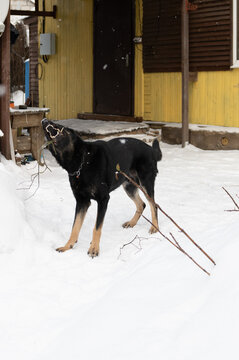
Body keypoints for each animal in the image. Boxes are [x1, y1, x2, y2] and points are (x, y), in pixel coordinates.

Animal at [42, 119, 162, 258]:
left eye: (58, 126)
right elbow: (75, 227)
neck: (82, 161)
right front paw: (68, 246)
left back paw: (155, 228)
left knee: (154, 205)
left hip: (145, 184)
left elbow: (97, 228)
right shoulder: (82, 202)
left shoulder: (103, 200)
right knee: (142, 204)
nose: (44, 120)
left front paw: (94, 249)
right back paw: (132, 223)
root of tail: (150, 149)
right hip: (129, 186)